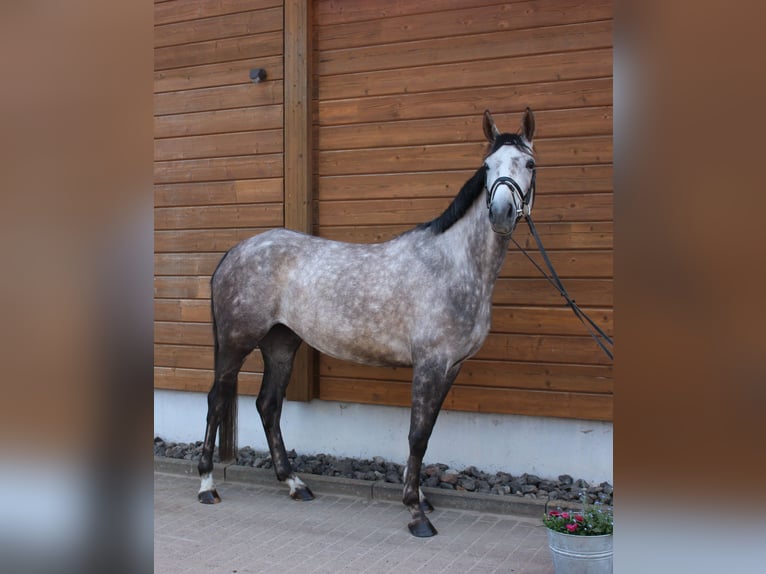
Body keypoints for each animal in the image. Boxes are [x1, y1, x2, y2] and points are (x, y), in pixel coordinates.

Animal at [198, 108, 536, 540]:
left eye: (528, 164)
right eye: (487, 165)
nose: (501, 213)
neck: (453, 265)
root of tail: (235, 252)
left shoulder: (452, 367)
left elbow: (426, 432)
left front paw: (420, 497)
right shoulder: (430, 364)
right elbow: (417, 435)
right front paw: (416, 512)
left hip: (281, 344)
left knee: (268, 405)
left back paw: (295, 484)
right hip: (236, 342)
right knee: (217, 400)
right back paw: (207, 486)